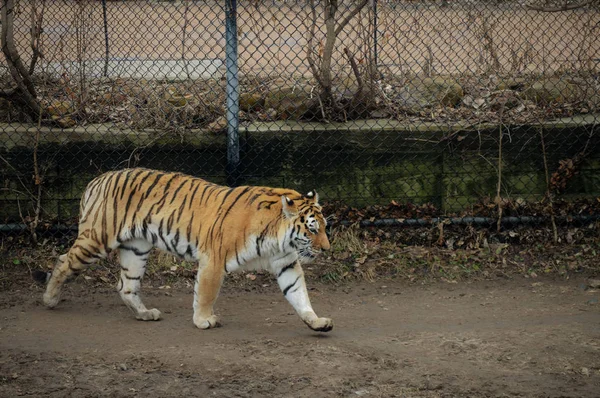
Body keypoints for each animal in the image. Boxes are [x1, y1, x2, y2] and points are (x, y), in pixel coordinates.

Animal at [42, 168, 332, 332]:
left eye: (325, 227)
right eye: (312, 230)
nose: (327, 249)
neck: (277, 238)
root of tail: (96, 180)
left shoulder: (286, 263)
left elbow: (298, 294)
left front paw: (316, 321)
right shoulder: (214, 259)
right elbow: (206, 294)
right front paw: (203, 321)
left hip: (136, 249)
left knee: (126, 286)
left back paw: (145, 314)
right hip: (98, 240)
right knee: (64, 260)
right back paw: (49, 299)